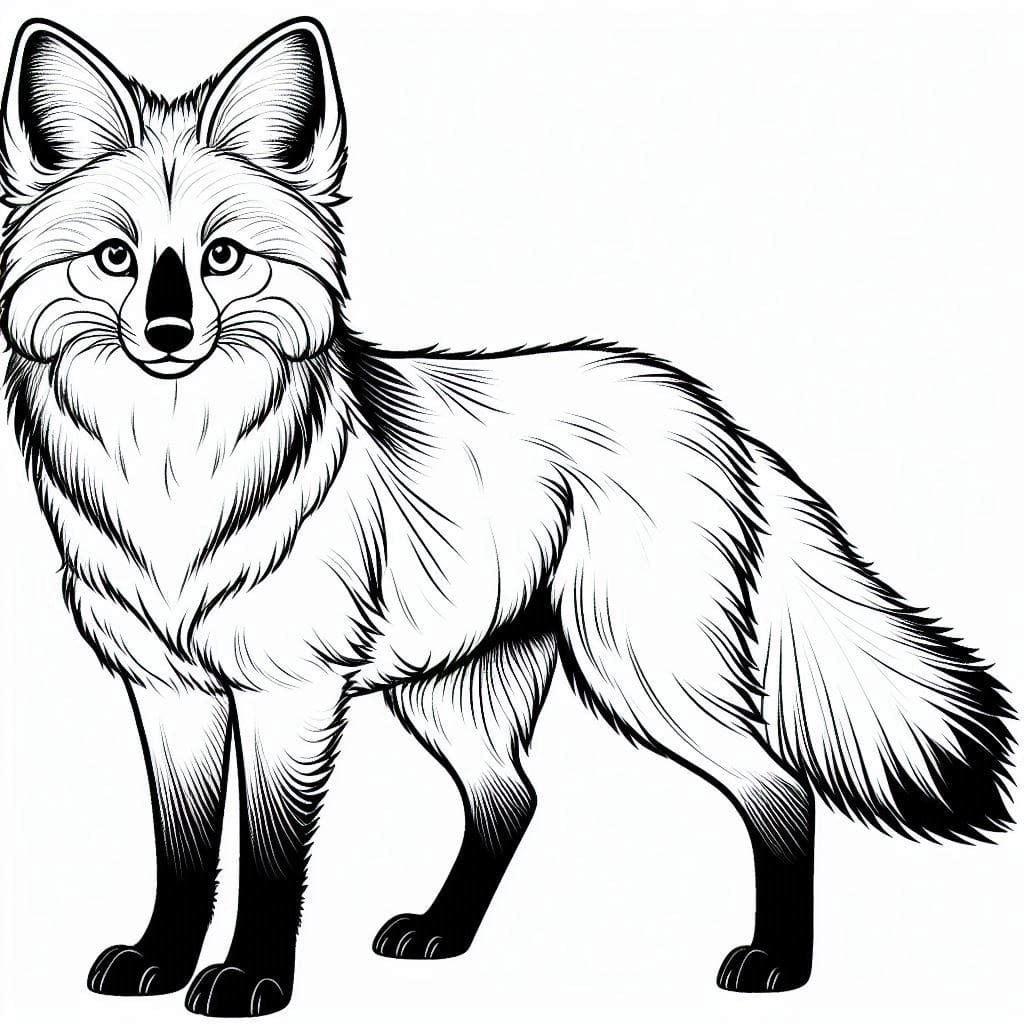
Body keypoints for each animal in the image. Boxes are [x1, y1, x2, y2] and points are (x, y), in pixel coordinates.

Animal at [0, 15, 1013, 1018]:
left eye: (223, 257)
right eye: (116, 258)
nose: (168, 335)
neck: (173, 475)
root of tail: (713, 413)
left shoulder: (290, 692)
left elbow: (271, 860)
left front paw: (252, 978)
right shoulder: (171, 693)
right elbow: (181, 856)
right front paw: (161, 960)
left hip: (644, 672)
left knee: (781, 788)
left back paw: (778, 963)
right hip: (452, 694)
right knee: (511, 800)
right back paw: (442, 933)